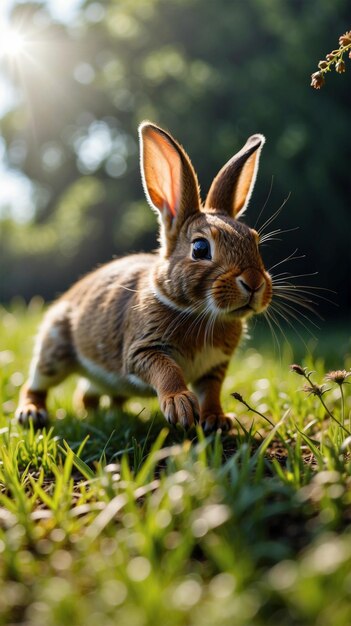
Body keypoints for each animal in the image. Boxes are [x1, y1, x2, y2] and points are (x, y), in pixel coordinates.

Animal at [15, 123, 272, 434]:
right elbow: (166, 370)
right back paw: (31, 413)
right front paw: (180, 405)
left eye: (255, 241)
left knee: (87, 394)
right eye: (200, 248)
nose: (254, 283)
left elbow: (211, 391)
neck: (199, 312)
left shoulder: (214, 367)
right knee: (36, 383)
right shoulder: (143, 349)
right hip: (54, 349)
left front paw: (217, 420)